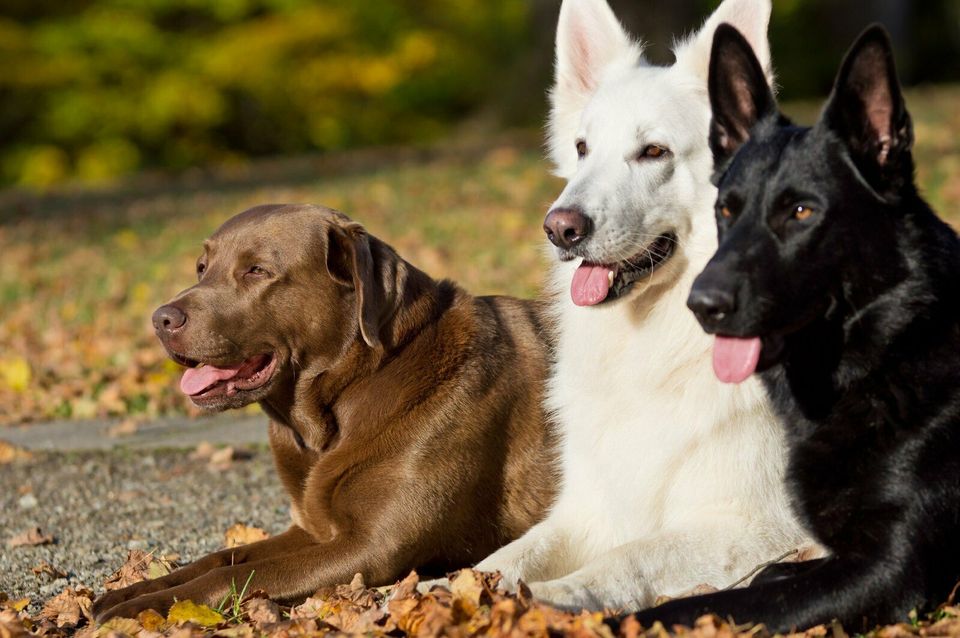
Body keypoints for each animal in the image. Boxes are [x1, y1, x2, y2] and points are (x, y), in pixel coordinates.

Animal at [94, 206, 560, 624]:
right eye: (202, 268)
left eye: (257, 270)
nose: (160, 319)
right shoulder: (310, 528)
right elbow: (219, 558)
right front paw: (130, 592)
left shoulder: (372, 545)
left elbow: (240, 573)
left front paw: (138, 608)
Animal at [468, 0, 812, 616]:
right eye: (582, 149)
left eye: (654, 151)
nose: (560, 228)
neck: (659, 345)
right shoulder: (588, 508)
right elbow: (506, 557)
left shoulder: (754, 525)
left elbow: (629, 557)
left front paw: (551, 599)